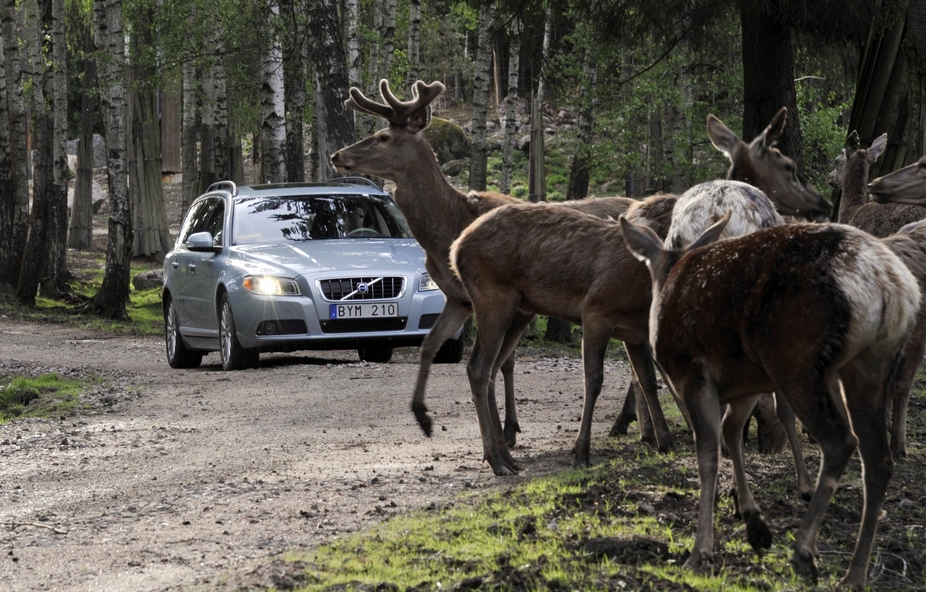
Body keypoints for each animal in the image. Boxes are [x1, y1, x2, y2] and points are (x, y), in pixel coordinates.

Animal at [332, 80, 676, 454]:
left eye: (383, 137)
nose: (338, 155)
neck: (447, 229)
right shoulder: (462, 298)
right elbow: (443, 349)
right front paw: (493, 431)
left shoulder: (509, 301)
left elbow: (502, 363)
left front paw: (506, 432)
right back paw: (634, 425)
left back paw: (640, 427)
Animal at [624, 213, 920, 588]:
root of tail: (890, 285)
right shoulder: (747, 381)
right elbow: (731, 432)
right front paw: (753, 522)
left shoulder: (694, 373)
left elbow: (708, 455)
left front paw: (701, 550)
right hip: (868, 365)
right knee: (878, 460)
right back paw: (853, 574)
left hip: (795, 360)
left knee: (840, 442)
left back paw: (805, 552)